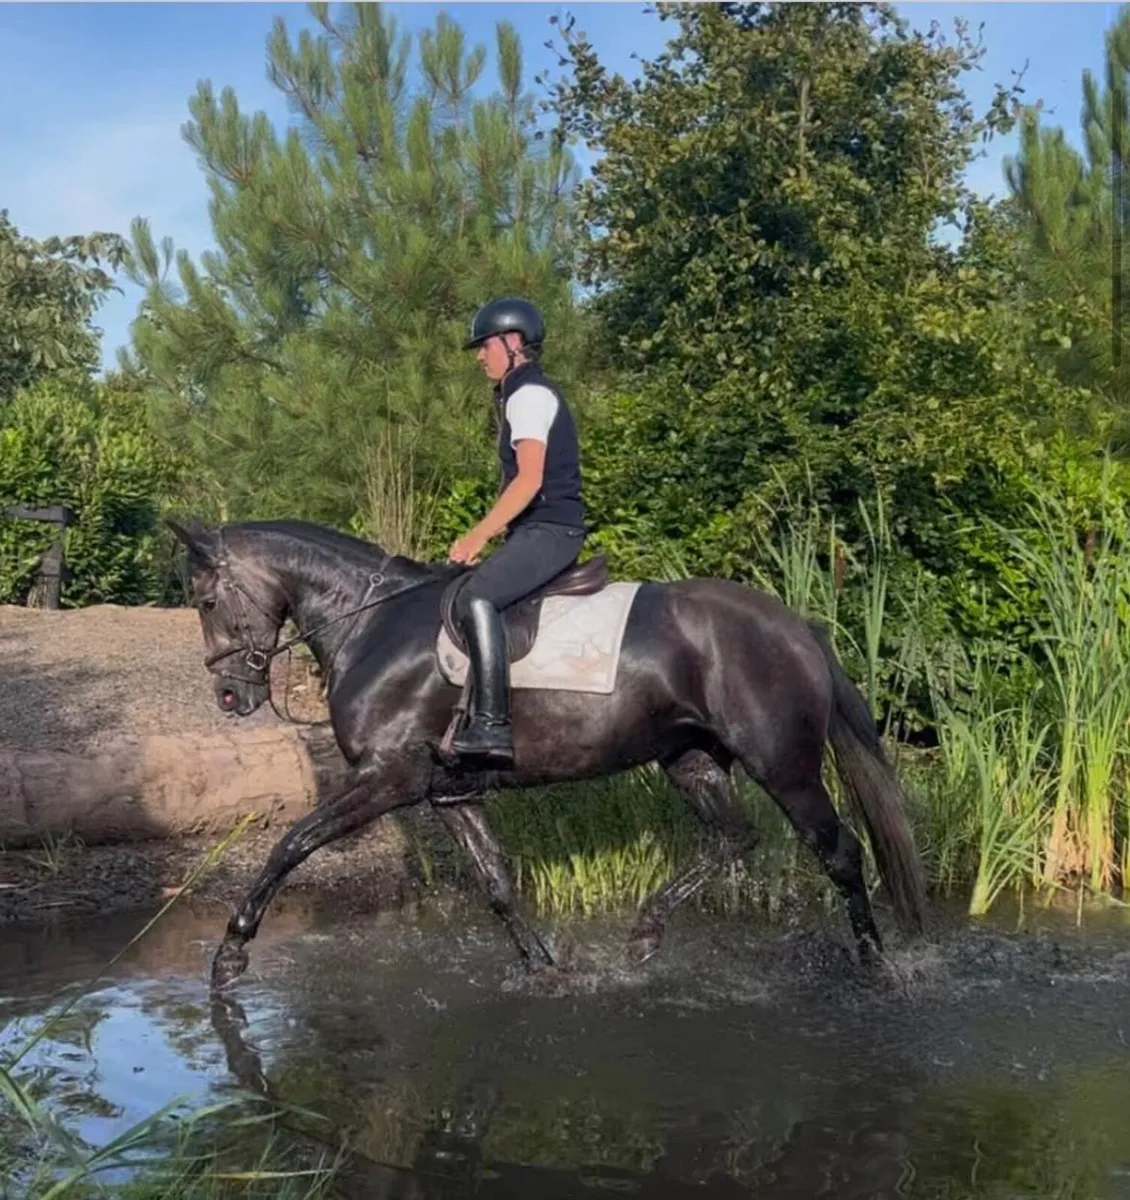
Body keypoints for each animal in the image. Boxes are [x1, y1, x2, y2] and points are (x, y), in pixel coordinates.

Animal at [165, 516, 927, 989]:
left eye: (205, 600)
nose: (230, 695)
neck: (374, 624)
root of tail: (794, 626)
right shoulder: (448, 791)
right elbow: (498, 883)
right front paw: (545, 968)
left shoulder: (387, 778)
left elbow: (290, 845)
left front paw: (230, 956)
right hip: (691, 758)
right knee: (733, 839)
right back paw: (645, 935)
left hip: (785, 766)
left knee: (838, 853)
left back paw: (878, 968)